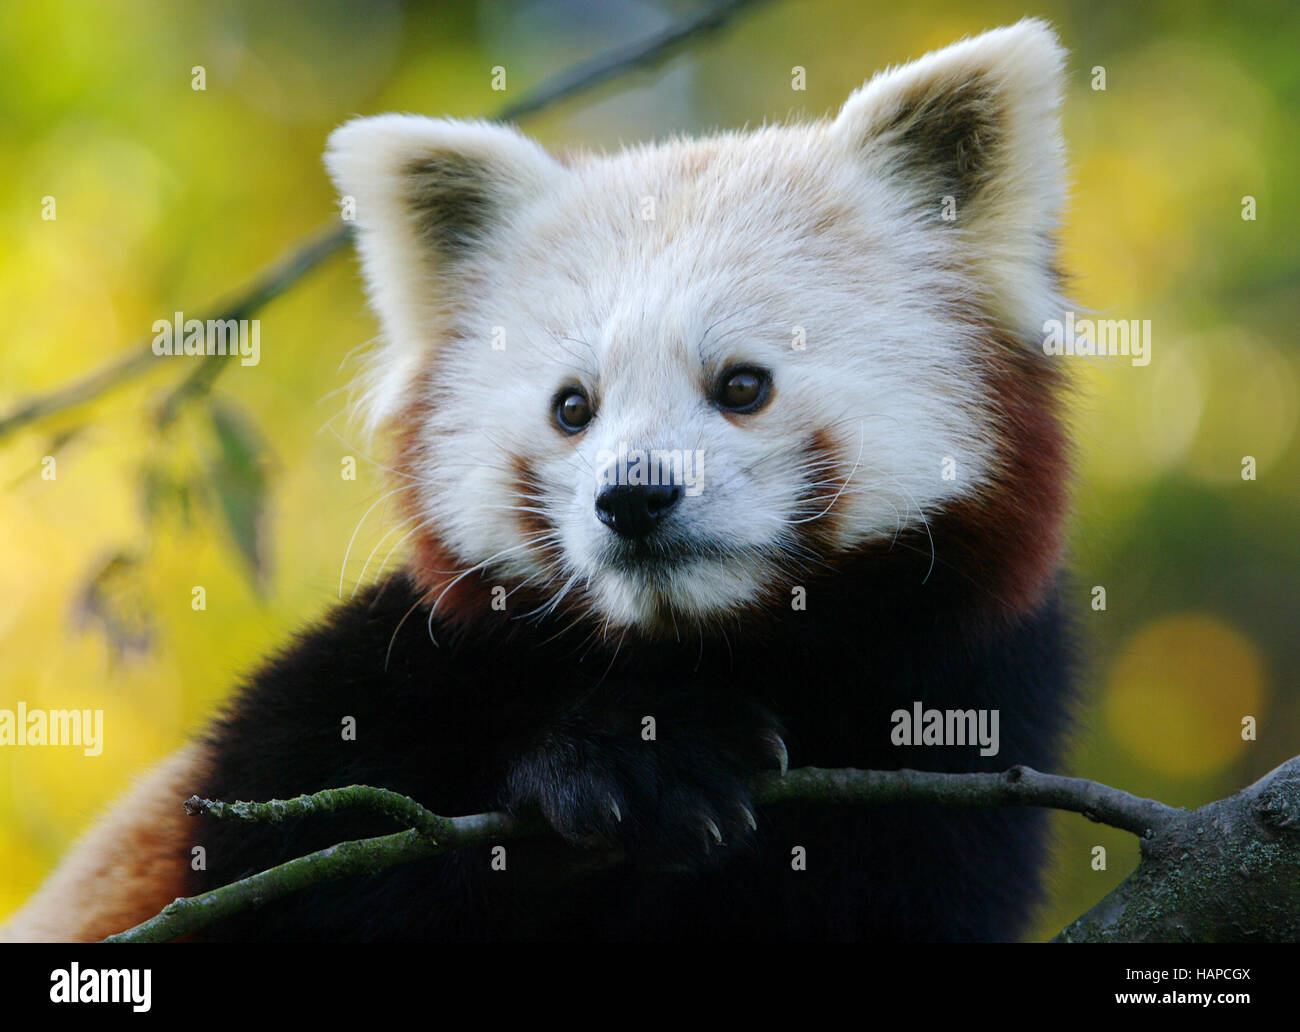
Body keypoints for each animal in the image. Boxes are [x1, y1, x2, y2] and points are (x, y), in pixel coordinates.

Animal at [0, 20, 1076, 941]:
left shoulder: (955, 723)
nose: (632, 497)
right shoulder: (349, 698)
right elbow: (295, 860)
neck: (713, 649)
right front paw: (629, 759)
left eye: (742, 385)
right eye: (572, 407)